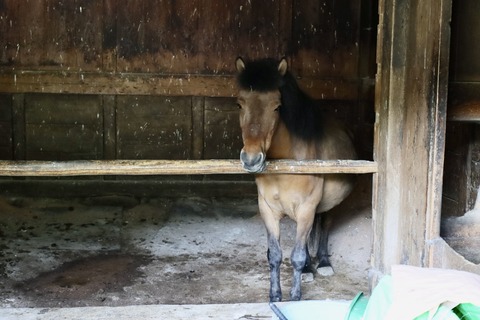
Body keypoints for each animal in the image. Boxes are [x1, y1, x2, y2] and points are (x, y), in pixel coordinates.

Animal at [234, 58, 358, 302]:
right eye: (240, 104)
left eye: (276, 106)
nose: (251, 159)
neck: (287, 163)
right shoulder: (268, 209)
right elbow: (275, 254)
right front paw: (275, 296)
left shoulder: (306, 207)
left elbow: (298, 255)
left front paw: (294, 297)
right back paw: (310, 268)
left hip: (331, 204)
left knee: (325, 225)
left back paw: (323, 263)